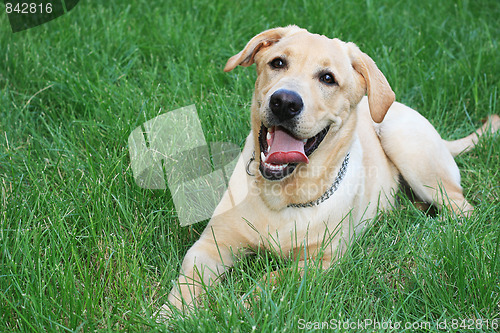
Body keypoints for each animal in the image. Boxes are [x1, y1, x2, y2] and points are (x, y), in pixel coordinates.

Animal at [159, 24, 496, 316]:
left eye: (328, 78)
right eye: (278, 62)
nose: (284, 102)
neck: (282, 197)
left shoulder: (322, 261)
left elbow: (270, 280)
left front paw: (235, 308)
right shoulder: (210, 245)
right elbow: (186, 285)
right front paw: (172, 316)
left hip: (405, 144)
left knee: (462, 208)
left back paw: (435, 230)